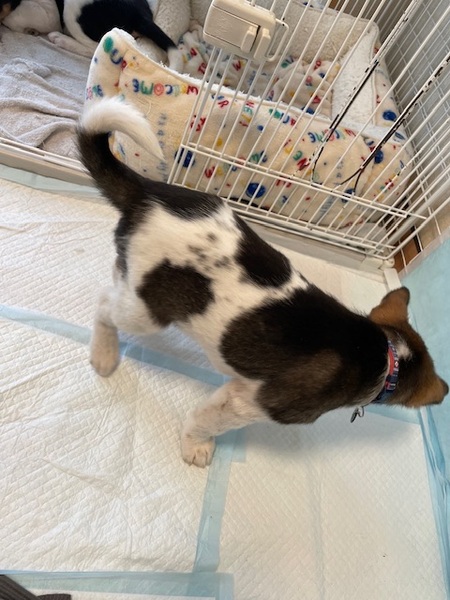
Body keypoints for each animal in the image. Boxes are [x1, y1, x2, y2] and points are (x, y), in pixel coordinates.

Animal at [0, 0, 181, 69]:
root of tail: (140, 15)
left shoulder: (49, 13)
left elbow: (14, 19)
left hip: (72, 8)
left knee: (96, 46)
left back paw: (61, 39)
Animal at [77, 97, 448, 468]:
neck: (386, 355)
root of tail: (146, 192)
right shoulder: (251, 402)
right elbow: (205, 419)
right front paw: (196, 446)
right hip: (149, 312)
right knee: (104, 303)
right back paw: (105, 355)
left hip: (138, 281)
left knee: (116, 279)